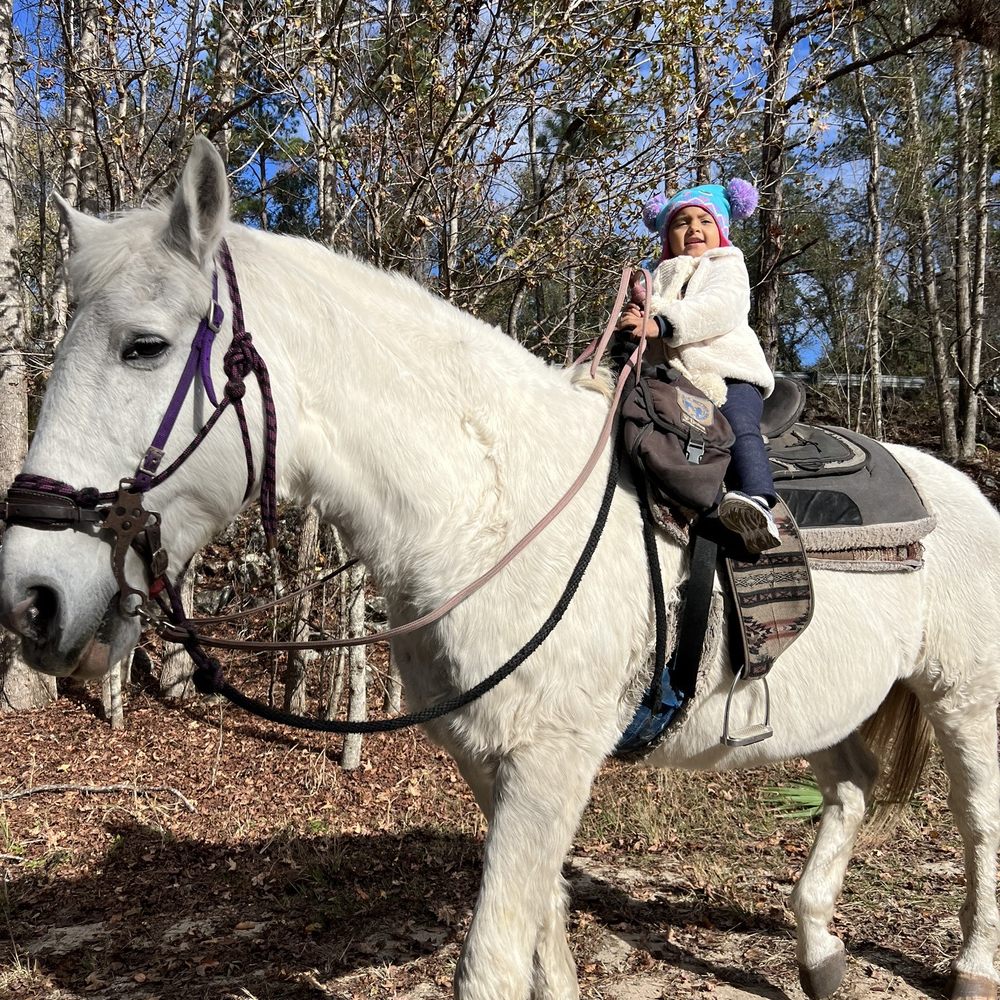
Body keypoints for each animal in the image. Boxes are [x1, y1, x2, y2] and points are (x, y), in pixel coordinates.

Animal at [2, 136, 999, 1000]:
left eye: (144, 345)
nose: (30, 598)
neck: (485, 510)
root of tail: (965, 490)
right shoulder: (494, 767)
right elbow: (543, 937)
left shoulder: (549, 764)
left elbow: (489, 962)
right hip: (834, 700)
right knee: (853, 787)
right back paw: (821, 954)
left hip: (964, 700)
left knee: (979, 824)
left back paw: (971, 968)